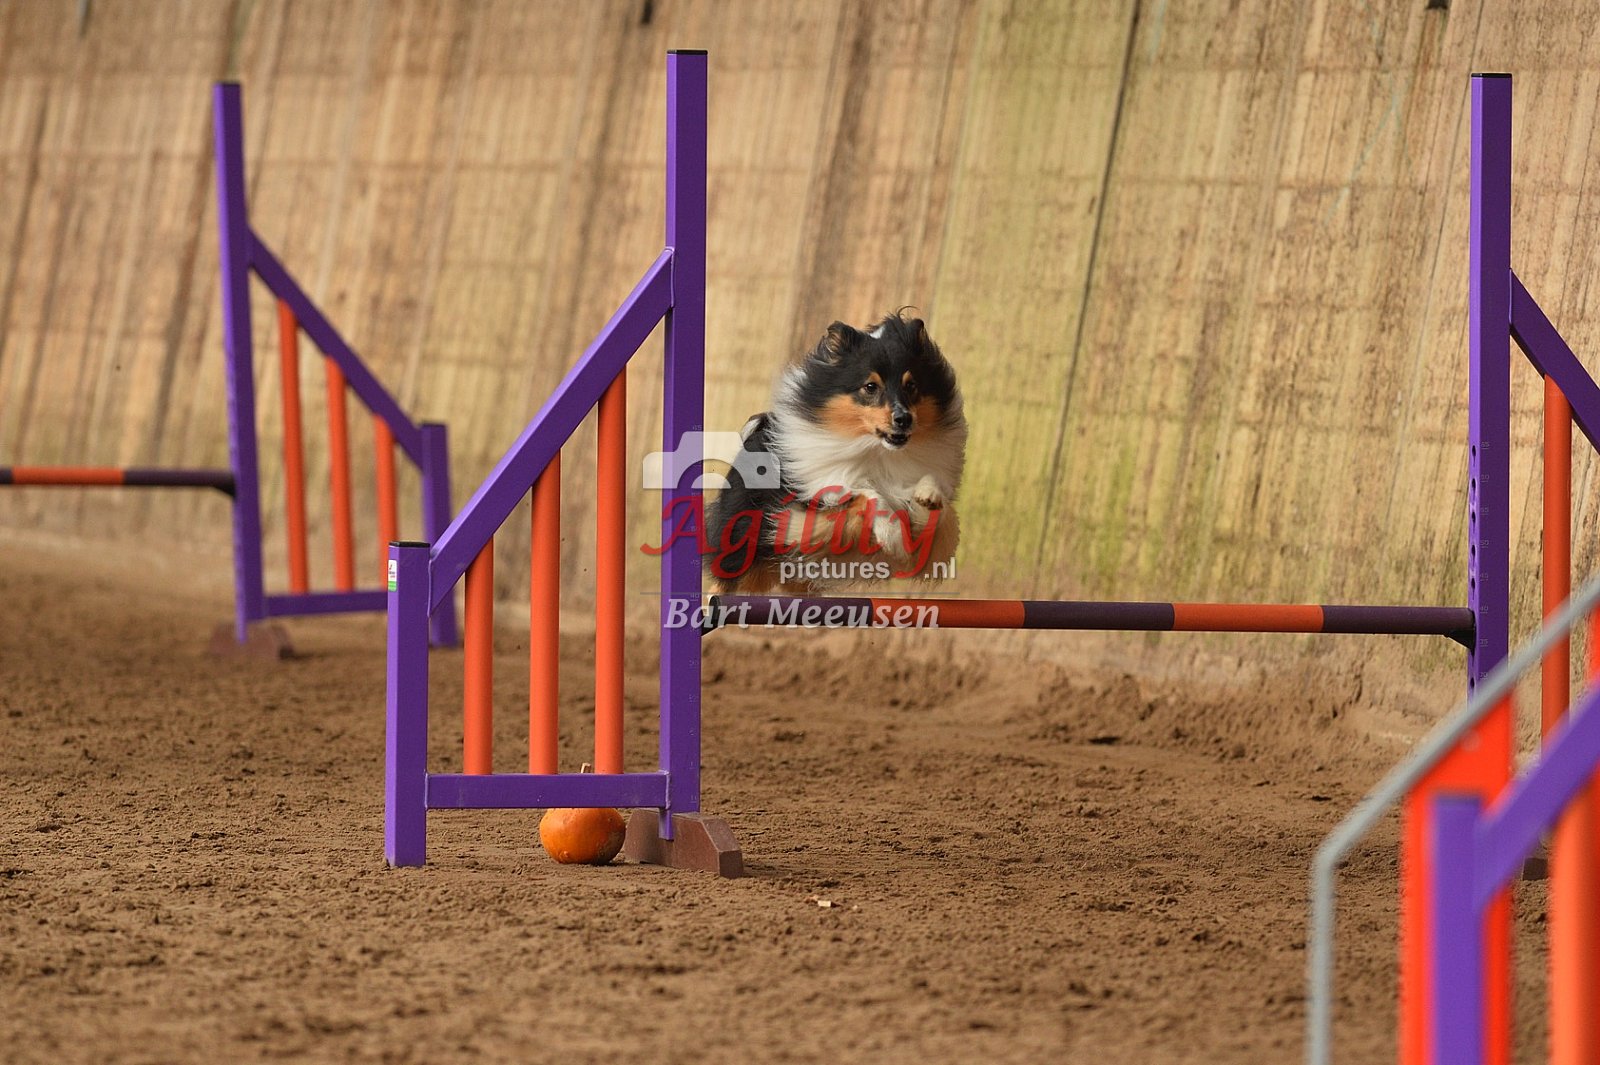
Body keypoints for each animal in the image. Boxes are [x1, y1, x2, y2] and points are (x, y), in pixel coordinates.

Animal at [705, 311, 966, 595]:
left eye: (912, 386)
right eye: (870, 386)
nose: (903, 419)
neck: (876, 451)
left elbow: (933, 509)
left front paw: (928, 497)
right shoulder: (802, 513)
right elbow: (864, 492)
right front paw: (893, 534)